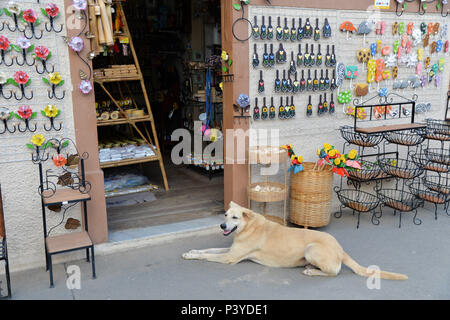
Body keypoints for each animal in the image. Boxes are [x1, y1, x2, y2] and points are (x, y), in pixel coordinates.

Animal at [183, 202, 408, 280]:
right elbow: (207, 250)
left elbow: (208, 256)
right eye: (225, 215)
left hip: (311, 248)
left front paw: (192, 256)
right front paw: (191, 251)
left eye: (235, 218)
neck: (249, 226)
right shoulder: (230, 250)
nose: (222, 226)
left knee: (334, 272)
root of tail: (340, 248)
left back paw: (311, 271)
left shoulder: (230, 257)